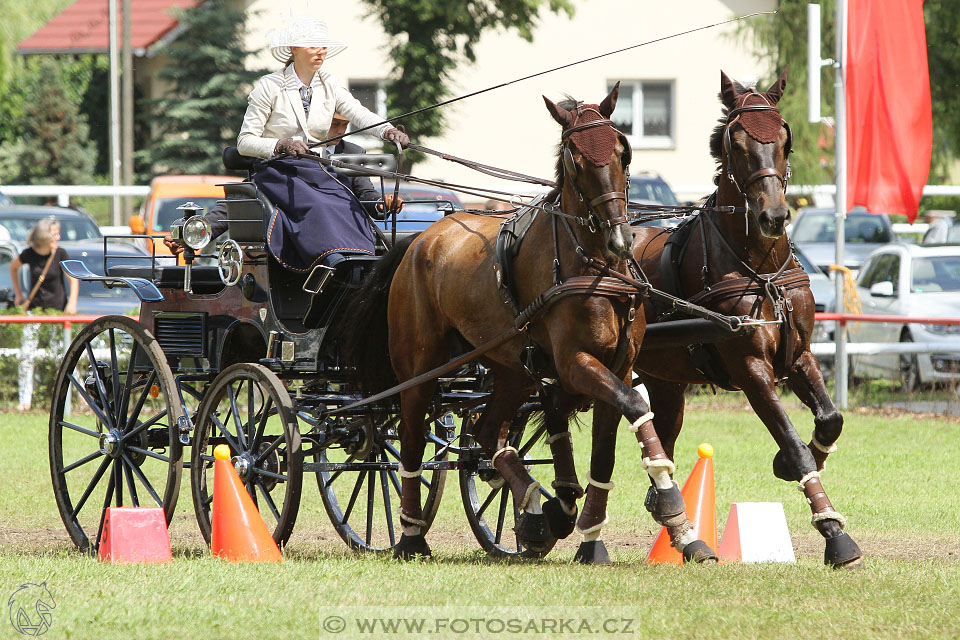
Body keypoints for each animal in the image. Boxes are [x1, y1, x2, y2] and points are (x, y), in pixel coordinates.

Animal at [344, 84, 712, 560]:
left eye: (623, 149)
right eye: (575, 157)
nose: (620, 237)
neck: (594, 265)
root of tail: (419, 238)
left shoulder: (619, 364)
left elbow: (607, 448)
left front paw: (596, 537)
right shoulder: (575, 363)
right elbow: (634, 405)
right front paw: (669, 502)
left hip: (510, 368)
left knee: (487, 434)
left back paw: (536, 509)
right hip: (421, 366)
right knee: (409, 439)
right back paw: (411, 535)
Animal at [632, 69, 864, 568]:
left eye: (784, 139)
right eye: (735, 143)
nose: (773, 215)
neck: (760, 267)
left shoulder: (798, 355)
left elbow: (831, 418)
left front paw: (800, 463)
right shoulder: (750, 367)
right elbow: (791, 440)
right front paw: (834, 533)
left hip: (664, 377)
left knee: (661, 429)